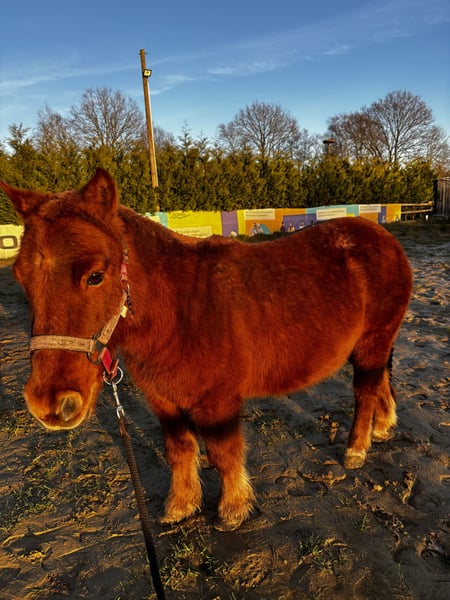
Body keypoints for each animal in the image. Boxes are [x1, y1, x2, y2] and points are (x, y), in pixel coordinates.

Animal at [0, 169, 412, 530]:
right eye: (20, 276)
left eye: (95, 276)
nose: (49, 404)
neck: (180, 312)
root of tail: (383, 236)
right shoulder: (163, 400)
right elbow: (180, 450)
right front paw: (181, 506)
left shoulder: (217, 402)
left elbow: (222, 453)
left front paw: (233, 509)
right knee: (380, 383)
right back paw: (383, 427)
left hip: (373, 343)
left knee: (364, 391)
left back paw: (357, 449)